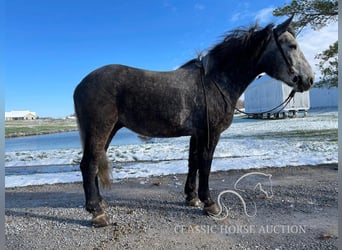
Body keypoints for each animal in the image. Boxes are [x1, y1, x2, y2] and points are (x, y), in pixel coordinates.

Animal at [73, 15, 314, 227]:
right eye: (292, 46)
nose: (309, 79)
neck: (215, 81)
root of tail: (81, 85)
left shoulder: (196, 134)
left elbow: (194, 162)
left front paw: (192, 197)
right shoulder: (210, 133)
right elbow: (206, 163)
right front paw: (209, 203)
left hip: (109, 130)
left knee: (94, 162)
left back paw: (100, 203)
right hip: (100, 129)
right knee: (89, 164)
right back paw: (97, 212)